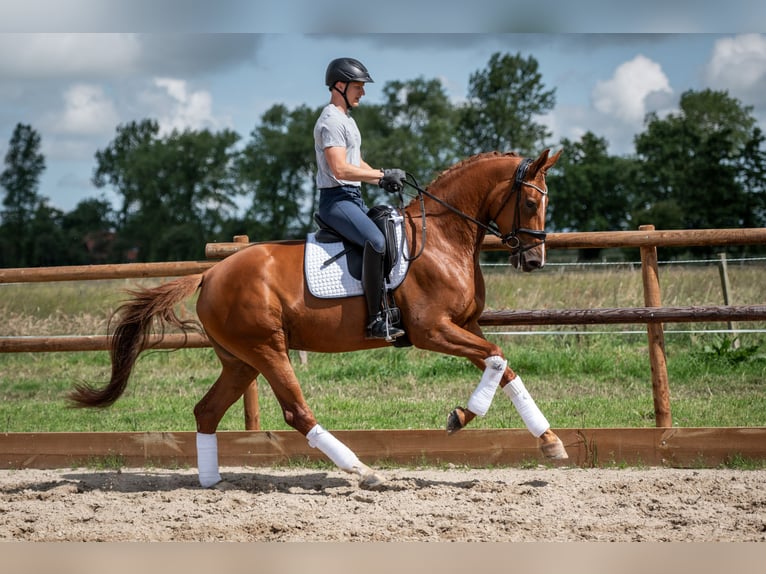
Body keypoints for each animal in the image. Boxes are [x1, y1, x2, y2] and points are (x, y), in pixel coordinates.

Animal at [68, 148, 567, 489]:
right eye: (529, 203)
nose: (534, 261)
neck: (444, 237)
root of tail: (210, 273)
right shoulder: (432, 330)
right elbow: (497, 359)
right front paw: (461, 417)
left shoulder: (466, 326)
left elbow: (503, 365)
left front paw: (548, 441)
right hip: (268, 348)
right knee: (295, 410)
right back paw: (361, 469)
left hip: (240, 359)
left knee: (207, 410)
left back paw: (211, 481)